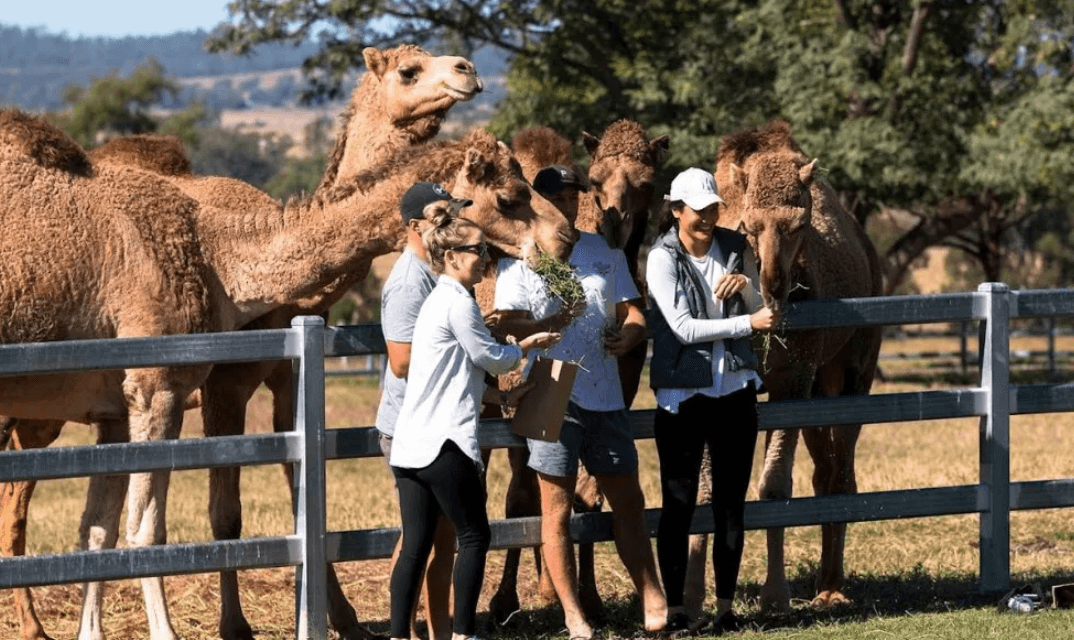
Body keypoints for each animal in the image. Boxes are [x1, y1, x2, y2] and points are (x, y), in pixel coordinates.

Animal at [0, 107, 573, 640]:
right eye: (510, 195)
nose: (564, 237)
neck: (216, 256)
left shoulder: (114, 407)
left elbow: (96, 531)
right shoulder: (156, 385)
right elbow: (146, 532)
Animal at [710, 119, 883, 611]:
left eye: (801, 224)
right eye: (748, 226)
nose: (775, 285)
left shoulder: (792, 378)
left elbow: (773, 486)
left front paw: (774, 594)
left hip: (854, 368)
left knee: (841, 472)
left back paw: (832, 587)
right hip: (820, 383)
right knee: (824, 472)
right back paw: (824, 583)